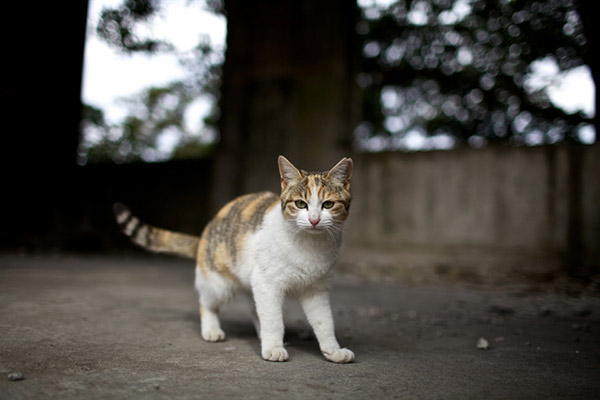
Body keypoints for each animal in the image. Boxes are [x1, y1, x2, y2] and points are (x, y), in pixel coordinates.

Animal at [115, 155, 354, 362]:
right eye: (301, 204)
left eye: (328, 204)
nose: (314, 220)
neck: (310, 245)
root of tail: (204, 236)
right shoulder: (267, 283)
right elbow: (273, 320)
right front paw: (273, 348)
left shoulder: (316, 289)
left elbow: (324, 321)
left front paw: (332, 351)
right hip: (219, 284)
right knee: (206, 303)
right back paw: (212, 329)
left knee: (255, 308)